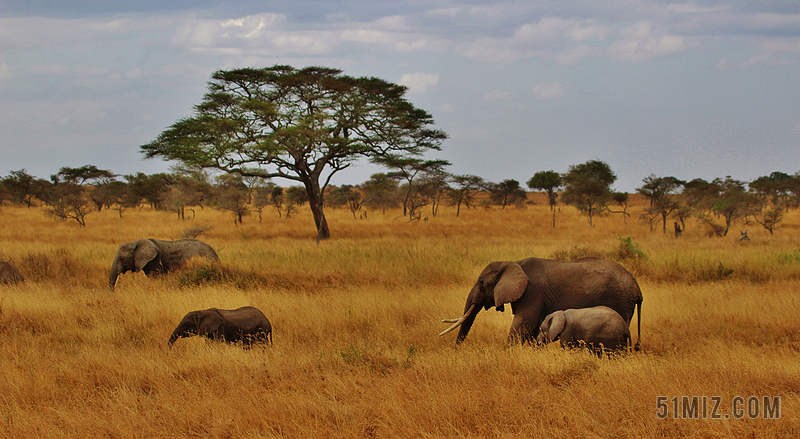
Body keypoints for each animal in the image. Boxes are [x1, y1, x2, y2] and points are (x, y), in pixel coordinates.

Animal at [440, 256, 640, 348]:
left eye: (481, 282)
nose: (456, 350)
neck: (512, 263)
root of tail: (638, 290)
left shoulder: (531, 293)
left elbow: (523, 325)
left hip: (620, 299)